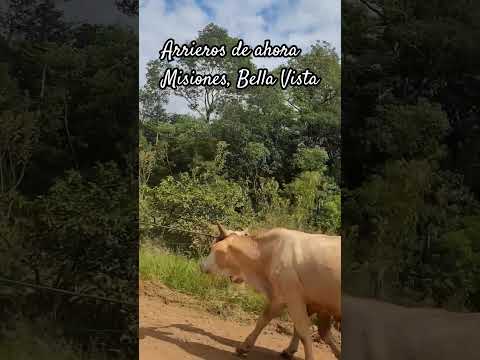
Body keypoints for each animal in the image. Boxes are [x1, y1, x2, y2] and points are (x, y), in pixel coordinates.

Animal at [199, 224, 342, 358]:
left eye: (212, 247)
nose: (201, 265)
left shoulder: (291, 297)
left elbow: (303, 331)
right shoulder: (307, 302)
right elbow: (265, 320)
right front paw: (245, 347)